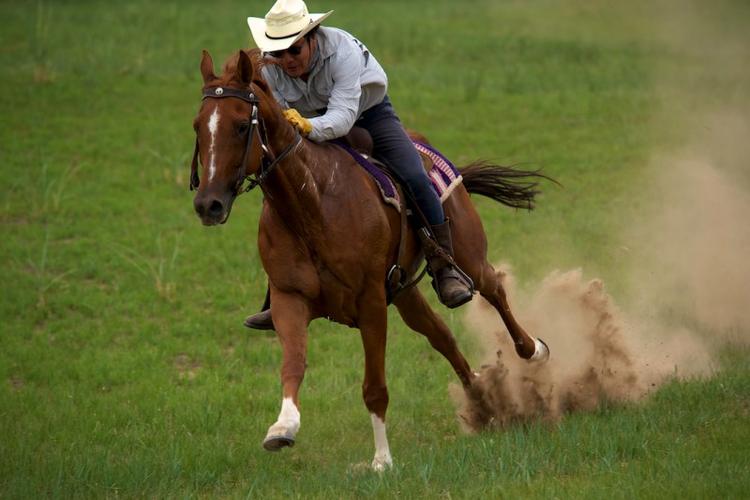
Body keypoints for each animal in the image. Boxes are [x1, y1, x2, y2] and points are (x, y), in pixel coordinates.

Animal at [188, 48, 552, 470]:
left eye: (239, 127)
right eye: (198, 127)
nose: (208, 204)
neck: (313, 204)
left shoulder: (372, 303)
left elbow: (374, 386)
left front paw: (382, 460)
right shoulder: (288, 299)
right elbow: (293, 364)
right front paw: (282, 428)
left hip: (468, 257)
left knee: (494, 289)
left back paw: (533, 350)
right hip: (406, 293)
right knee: (441, 337)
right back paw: (483, 402)